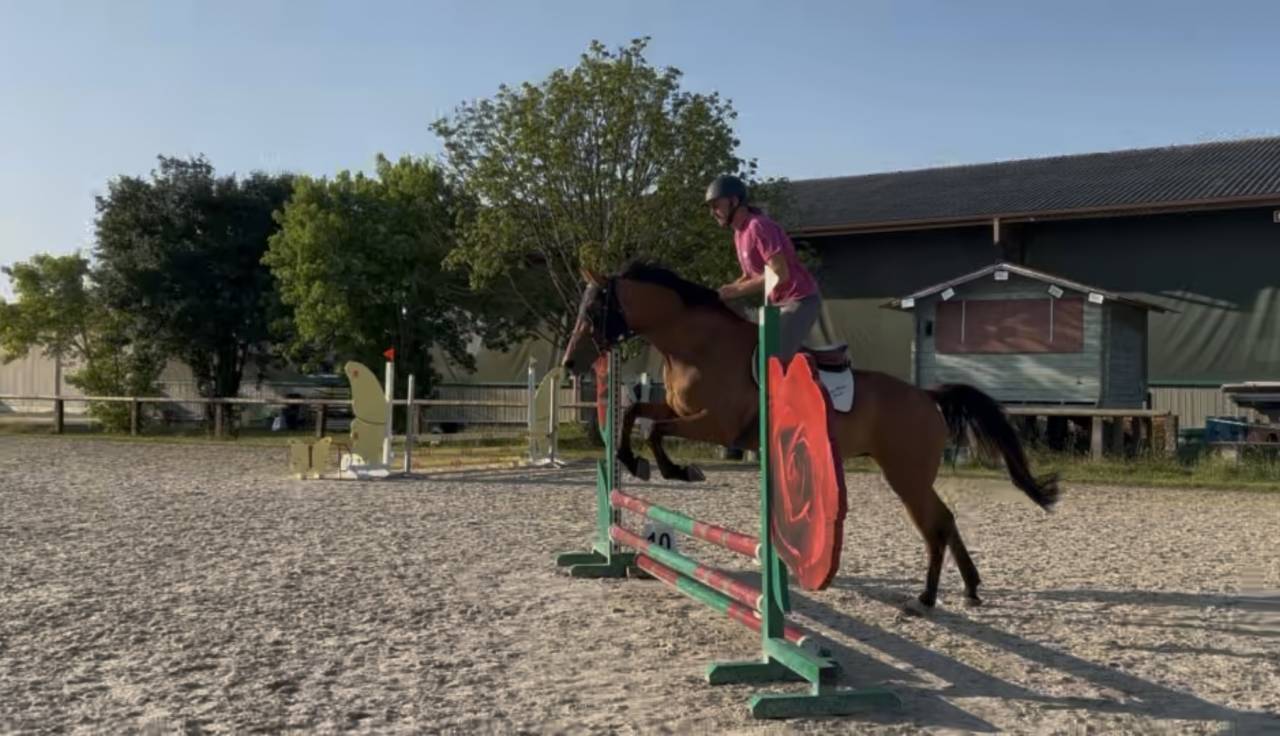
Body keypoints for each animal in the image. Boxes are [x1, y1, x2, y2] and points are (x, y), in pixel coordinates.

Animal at [560, 260, 1059, 612]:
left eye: (595, 309)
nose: (569, 363)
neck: (696, 345)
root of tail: (925, 395)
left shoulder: (715, 423)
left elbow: (655, 430)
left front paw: (677, 470)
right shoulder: (679, 409)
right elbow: (636, 414)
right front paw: (633, 461)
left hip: (906, 475)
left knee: (936, 524)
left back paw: (926, 598)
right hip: (910, 475)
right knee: (946, 519)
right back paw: (969, 589)